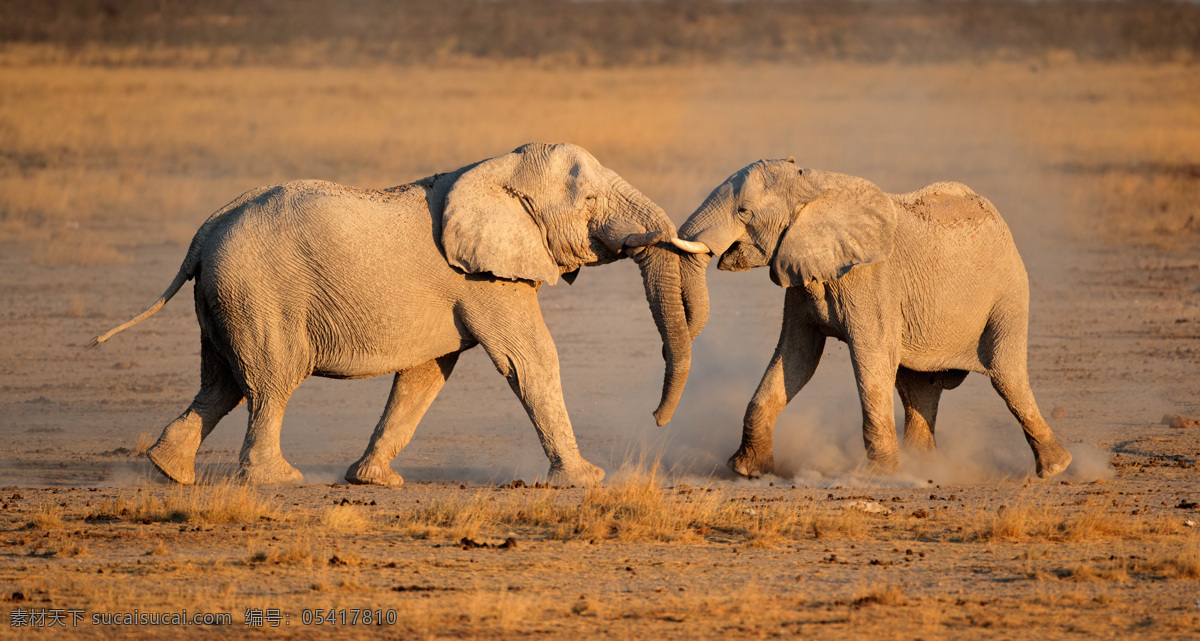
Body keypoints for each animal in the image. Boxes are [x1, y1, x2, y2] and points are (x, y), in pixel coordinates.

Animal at [96, 143, 710, 487]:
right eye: (588, 204)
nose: (657, 422)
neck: (497, 168)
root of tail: (203, 233)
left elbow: (424, 376)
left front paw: (375, 482)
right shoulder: (486, 279)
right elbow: (530, 361)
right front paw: (586, 481)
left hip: (225, 296)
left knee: (221, 383)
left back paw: (168, 471)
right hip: (257, 293)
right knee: (270, 382)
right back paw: (278, 480)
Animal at [672, 159, 1075, 482]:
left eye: (743, 211)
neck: (814, 185)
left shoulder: (872, 283)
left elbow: (871, 360)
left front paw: (879, 477)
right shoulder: (803, 276)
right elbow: (795, 358)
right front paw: (746, 471)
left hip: (1008, 294)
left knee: (1006, 375)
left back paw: (1057, 468)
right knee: (918, 386)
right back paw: (925, 468)